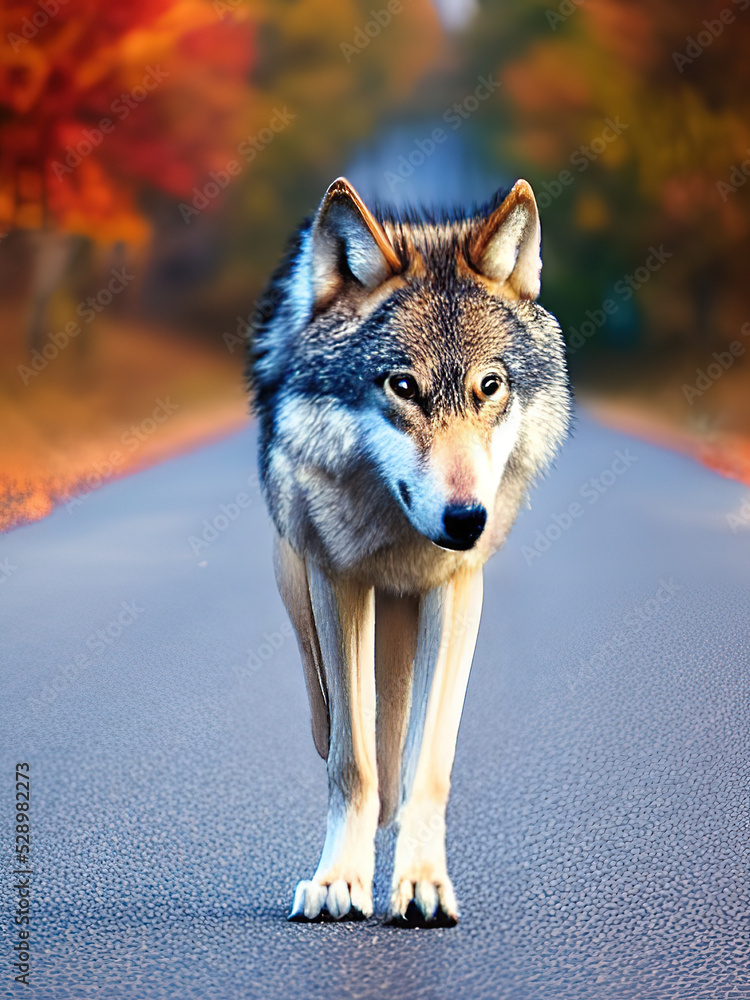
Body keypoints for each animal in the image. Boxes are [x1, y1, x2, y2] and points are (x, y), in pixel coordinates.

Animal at [247, 176, 571, 926]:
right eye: (402, 387)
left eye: (490, 386)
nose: (468, 519)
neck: (399, 539)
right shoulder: (337, 580)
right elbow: (352, 760)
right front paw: (339, 880)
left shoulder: (456, 590)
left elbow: (430, 763)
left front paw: (420, 882)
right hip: (298, 582)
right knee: (332, 720)